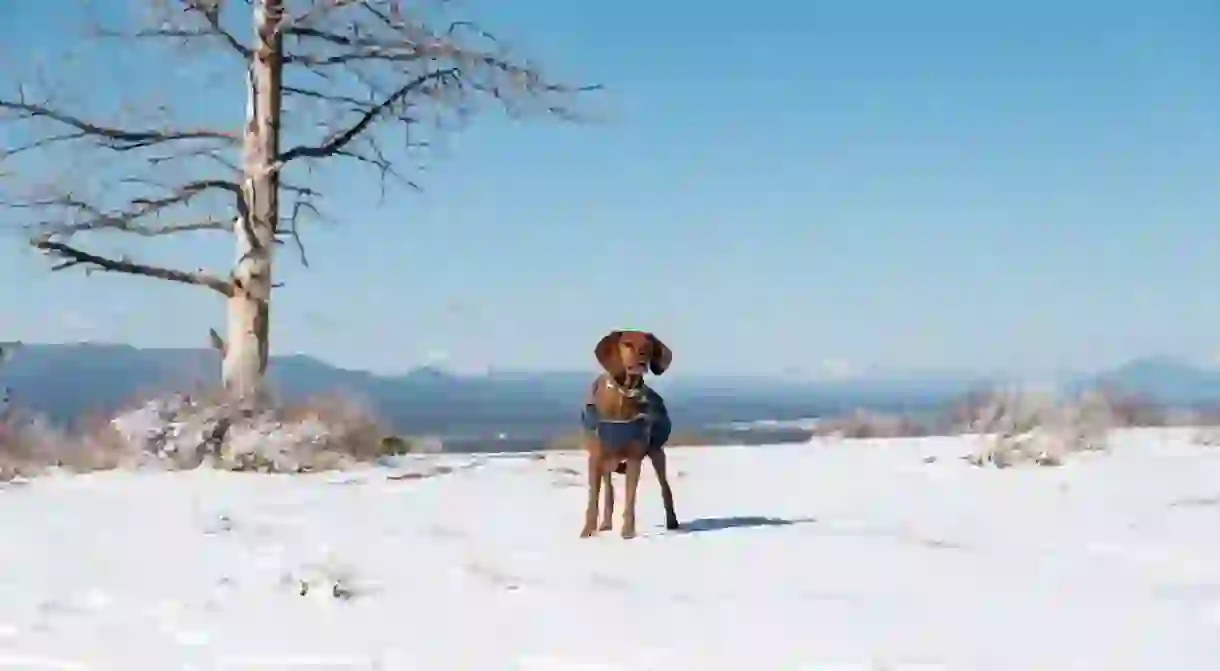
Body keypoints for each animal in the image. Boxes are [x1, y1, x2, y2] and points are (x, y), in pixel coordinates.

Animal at [578, 329, 683, 539]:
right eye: (627, 343)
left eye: (647, 345)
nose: (642, 355)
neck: (623, 393)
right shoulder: (596, 457)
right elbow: (593, 499)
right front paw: (587, 531)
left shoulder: (635, 458)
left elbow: (630, 497)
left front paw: (627, 531)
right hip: (607, 462)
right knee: (609, 491)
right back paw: (605, 523)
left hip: (656, 453)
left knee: (665, 488)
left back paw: (672, 521)